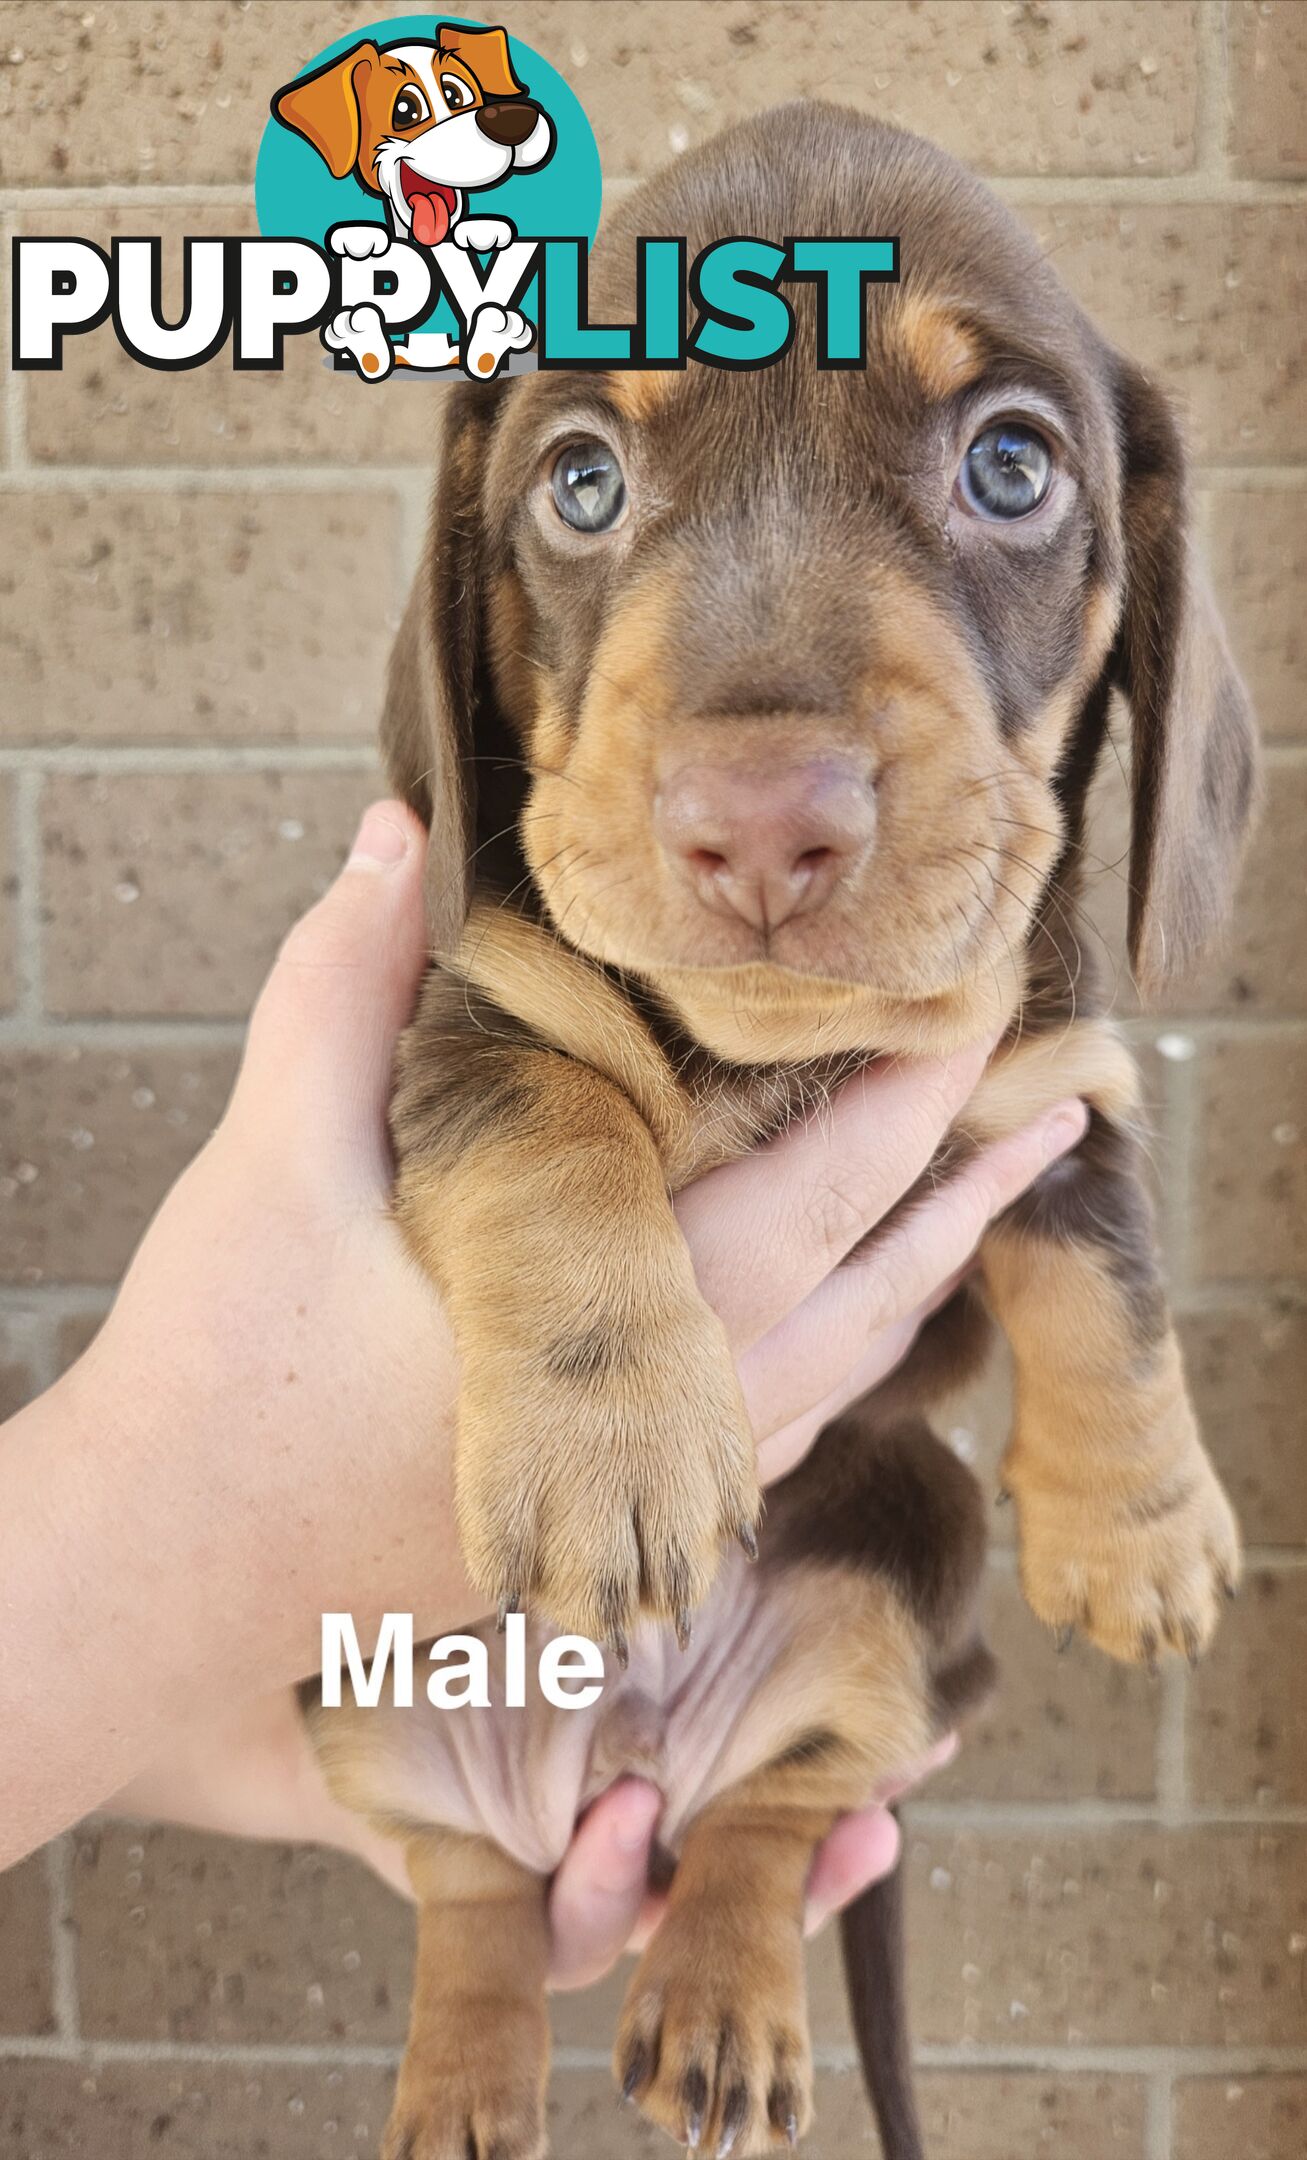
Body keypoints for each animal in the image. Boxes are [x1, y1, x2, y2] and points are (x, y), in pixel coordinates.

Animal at [302, 101, 1252, 2160]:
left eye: (1009, 465)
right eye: (579, 481)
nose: (760, 822)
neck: (773, 1055)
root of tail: (618, 1760)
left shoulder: (1050, 1089)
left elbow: (1106, 1266)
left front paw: (1138, 1531)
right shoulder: (474, 1020)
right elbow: (560, 1135)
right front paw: (616, 1448)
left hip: (905, 1566)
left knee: (771, 1812)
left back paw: (722, 2004)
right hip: (358, 1691)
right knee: (469, 1891)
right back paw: (469, 2070)